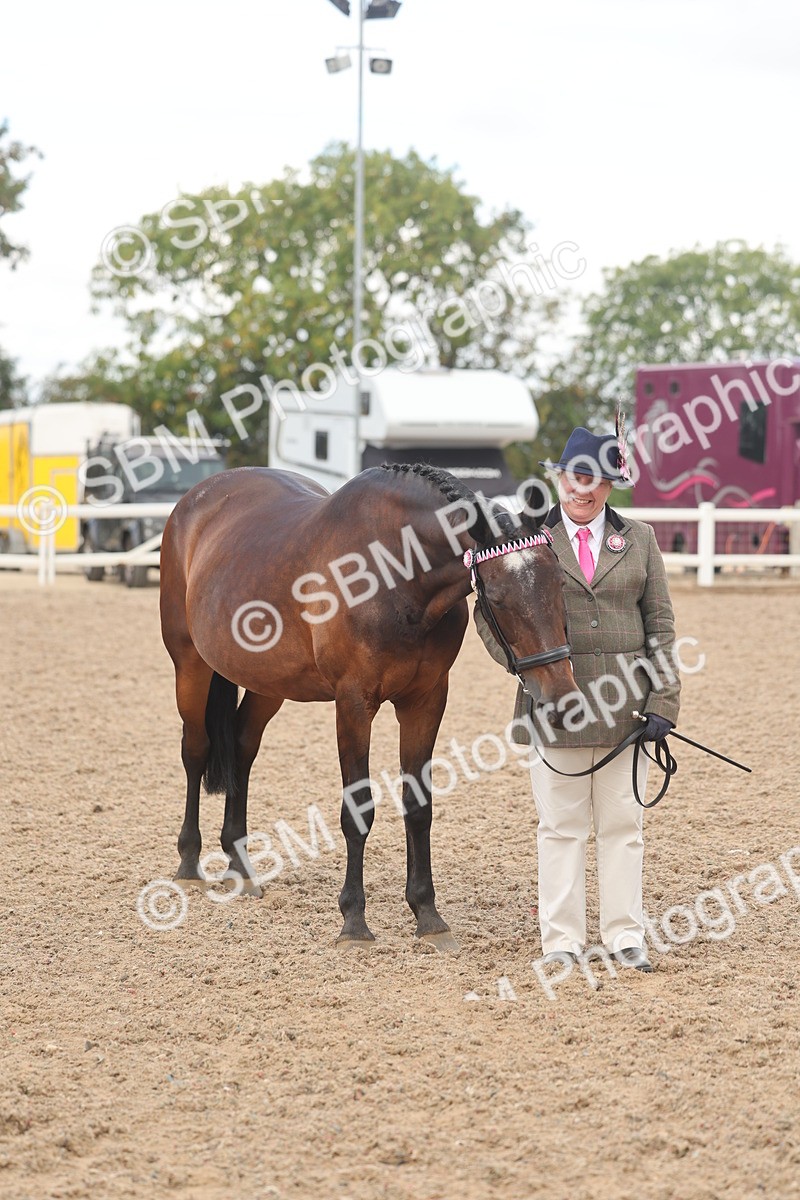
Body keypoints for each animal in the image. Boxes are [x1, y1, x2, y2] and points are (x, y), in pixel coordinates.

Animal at [159, 462, 577, 950]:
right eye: (498, 596)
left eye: (560, 584)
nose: (561, 698)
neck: (394, 576)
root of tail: (200, 496)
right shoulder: (354, 704)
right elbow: (358, 810)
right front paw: (354, 920)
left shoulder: (426, 700)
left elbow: (418, 806)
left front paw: (427, 914)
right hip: (190, 665)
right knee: (195, 750)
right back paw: (189, 862)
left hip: (268, 682)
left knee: (242, 749)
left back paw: (240, 865)